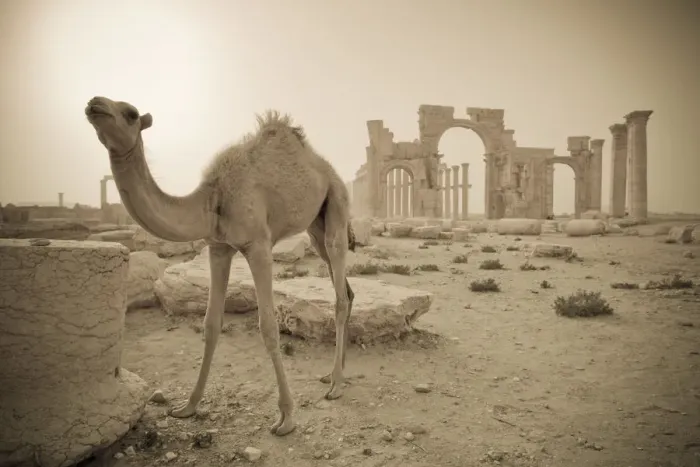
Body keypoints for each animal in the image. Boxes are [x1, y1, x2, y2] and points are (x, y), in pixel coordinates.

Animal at [85, 96, 356, 436]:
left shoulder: (258, 246)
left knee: (340, 292)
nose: (95, 104)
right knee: (345, 289)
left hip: (336, 203)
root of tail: (326, 167)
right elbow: (211, 324)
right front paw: (187, 406)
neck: (213, 199)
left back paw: (336, 385)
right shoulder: (218, 247)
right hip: (314, 226)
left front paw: (286, 417)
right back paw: (335, 374)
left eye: (131, 113)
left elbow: (268, 327)